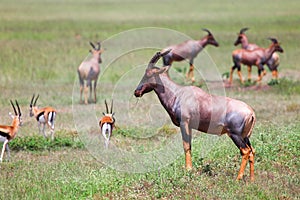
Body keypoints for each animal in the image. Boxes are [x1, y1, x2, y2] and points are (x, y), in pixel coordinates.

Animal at [135, 50, 256, 181]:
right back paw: (251, 179)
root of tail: (251, 113)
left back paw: (238, 178)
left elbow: (186, 146)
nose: (137, 92)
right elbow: (190, 145)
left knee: (245, 151)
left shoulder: (184, 123)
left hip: (235, 135)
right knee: (252, 151)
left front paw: (188, 170)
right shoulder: (190, 126)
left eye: (148, 74)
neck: (179, 93)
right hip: (245, 136)